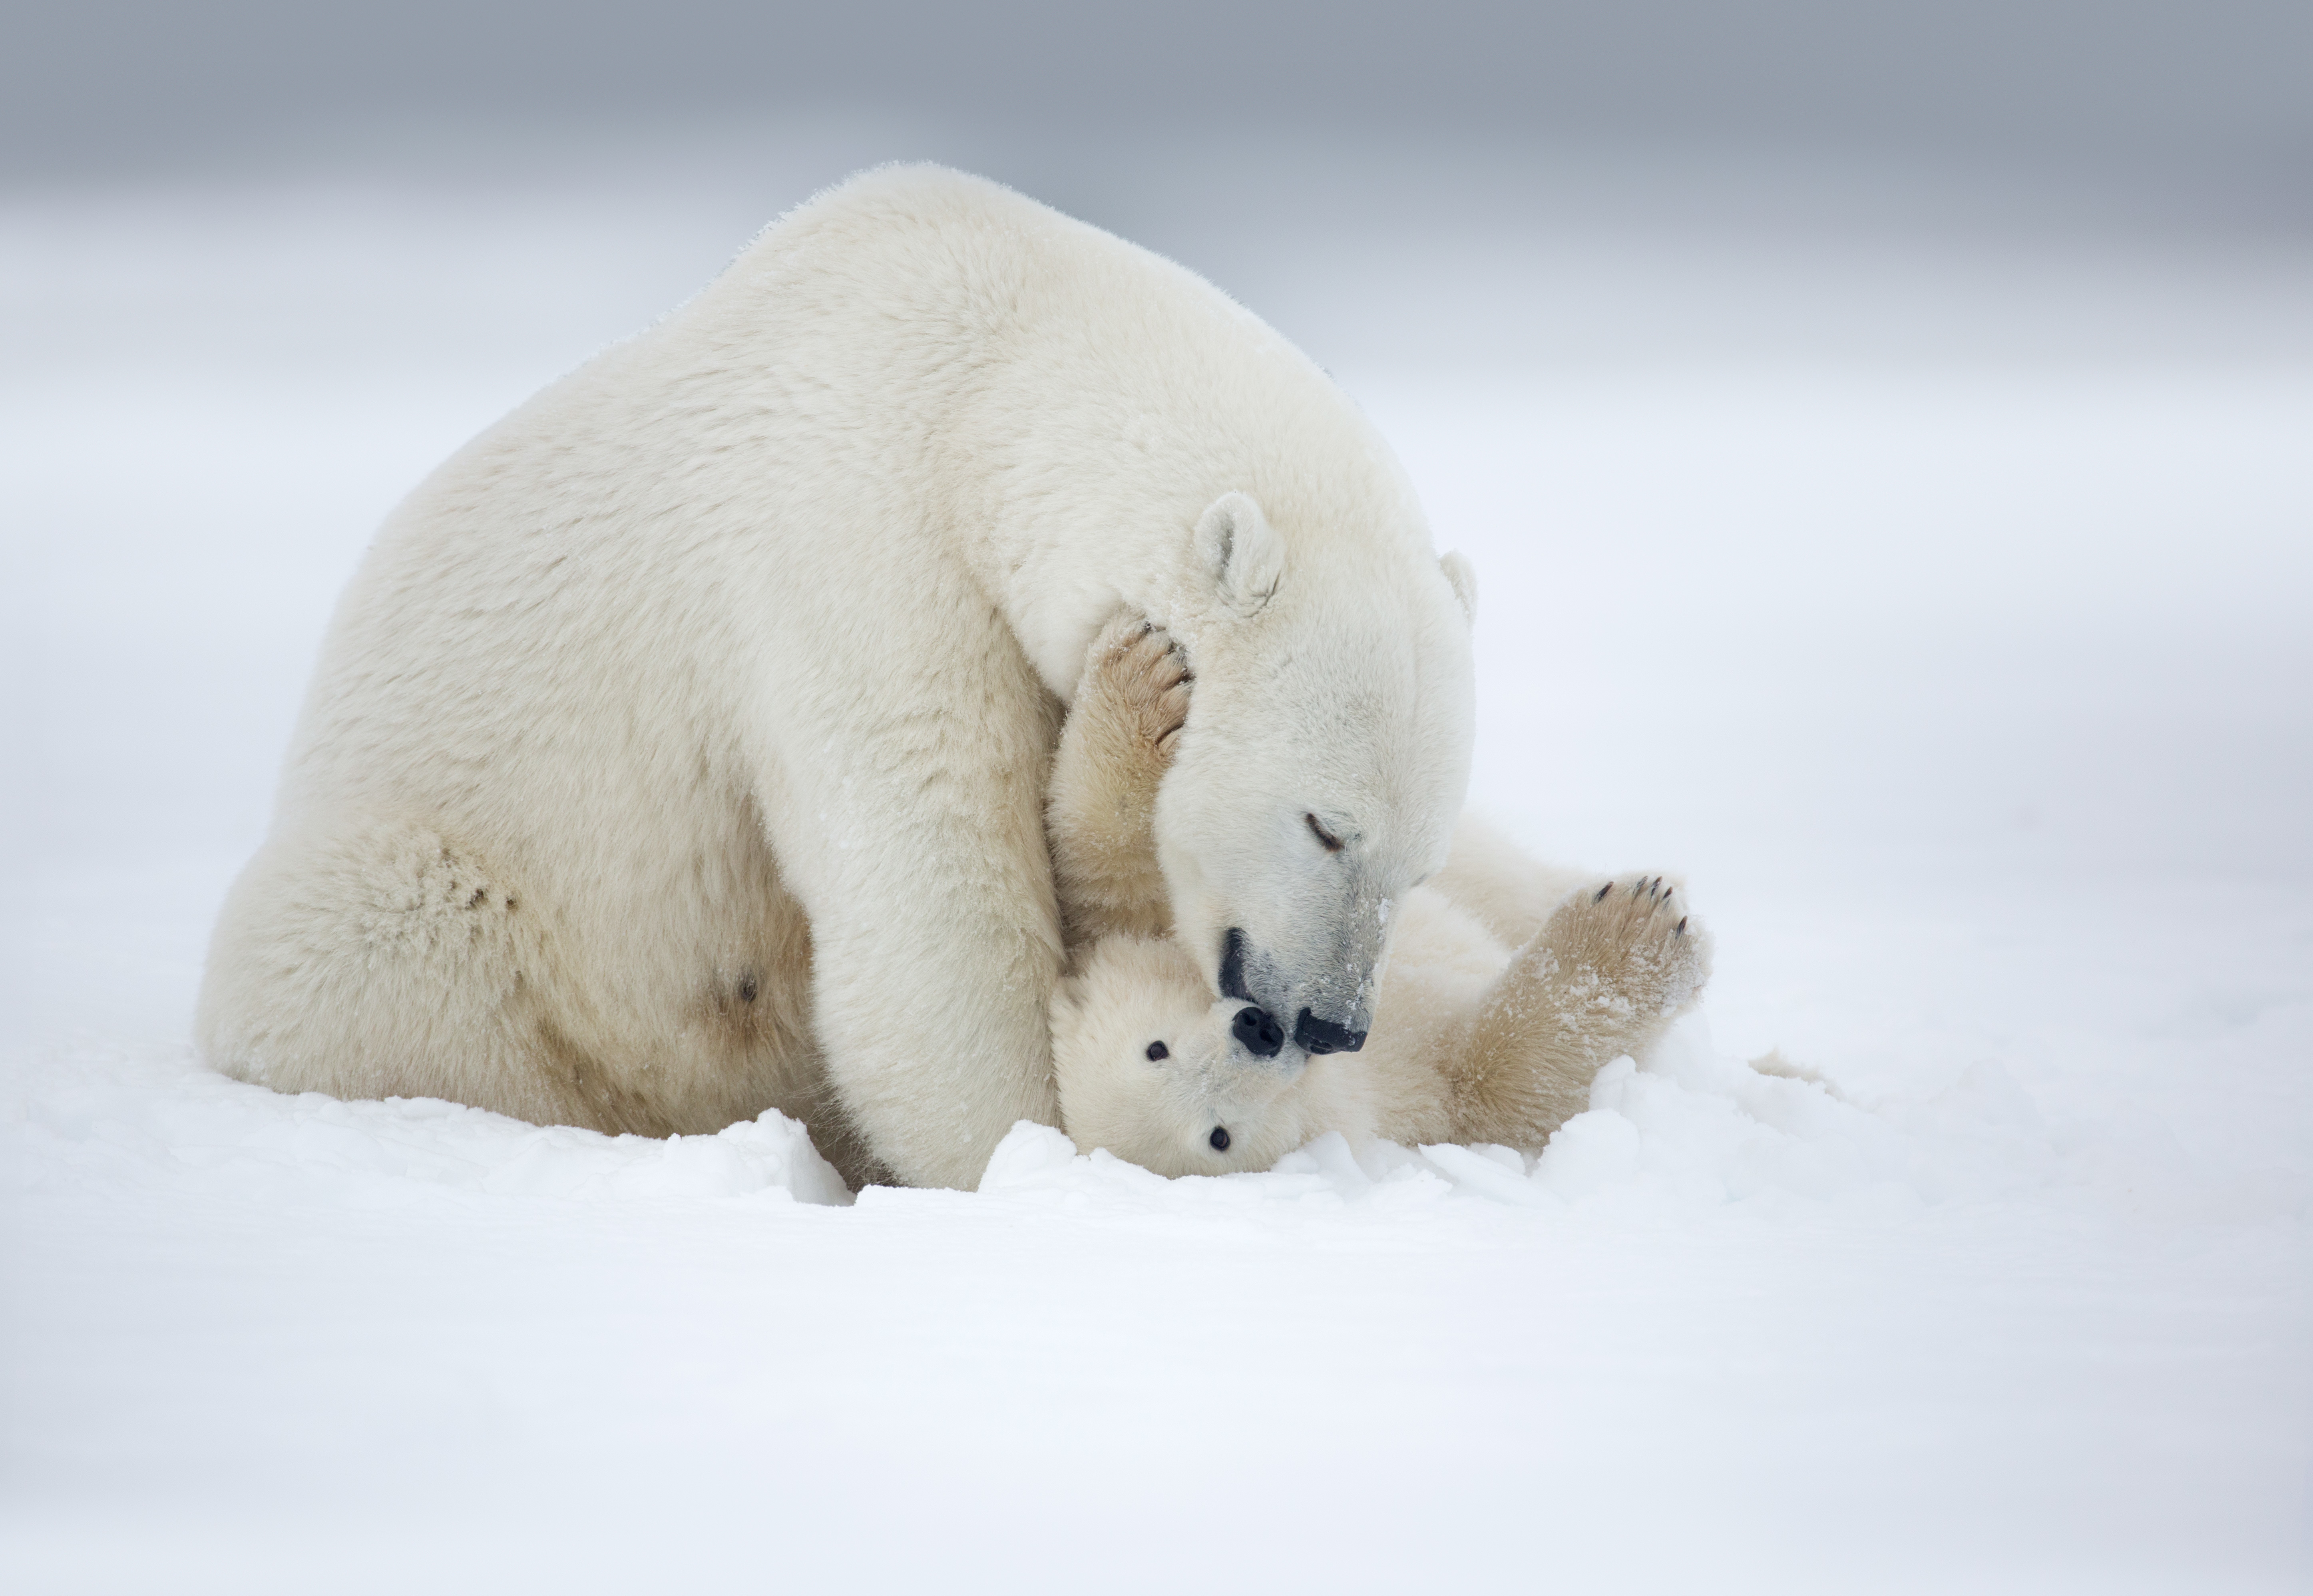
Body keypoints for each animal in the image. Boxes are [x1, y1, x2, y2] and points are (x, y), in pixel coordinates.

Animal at [195, 165, 1478, 1190]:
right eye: (1324, 825)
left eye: (1416, 864)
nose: (1327, 1022)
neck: (987, 370)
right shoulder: (853, 548)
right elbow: (929, 887)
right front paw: (1028, 1153)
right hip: (453, 896)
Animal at [1042, 619, 1710, 1177]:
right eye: (1218, 1136)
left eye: (1155, 1047)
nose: (1259, 1030)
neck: (1336, 1071)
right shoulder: (1406, 1096)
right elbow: (1502, 1082)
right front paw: (1635, 933)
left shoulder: (1155, 920)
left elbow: (1112, 863)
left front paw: (1147, 675)